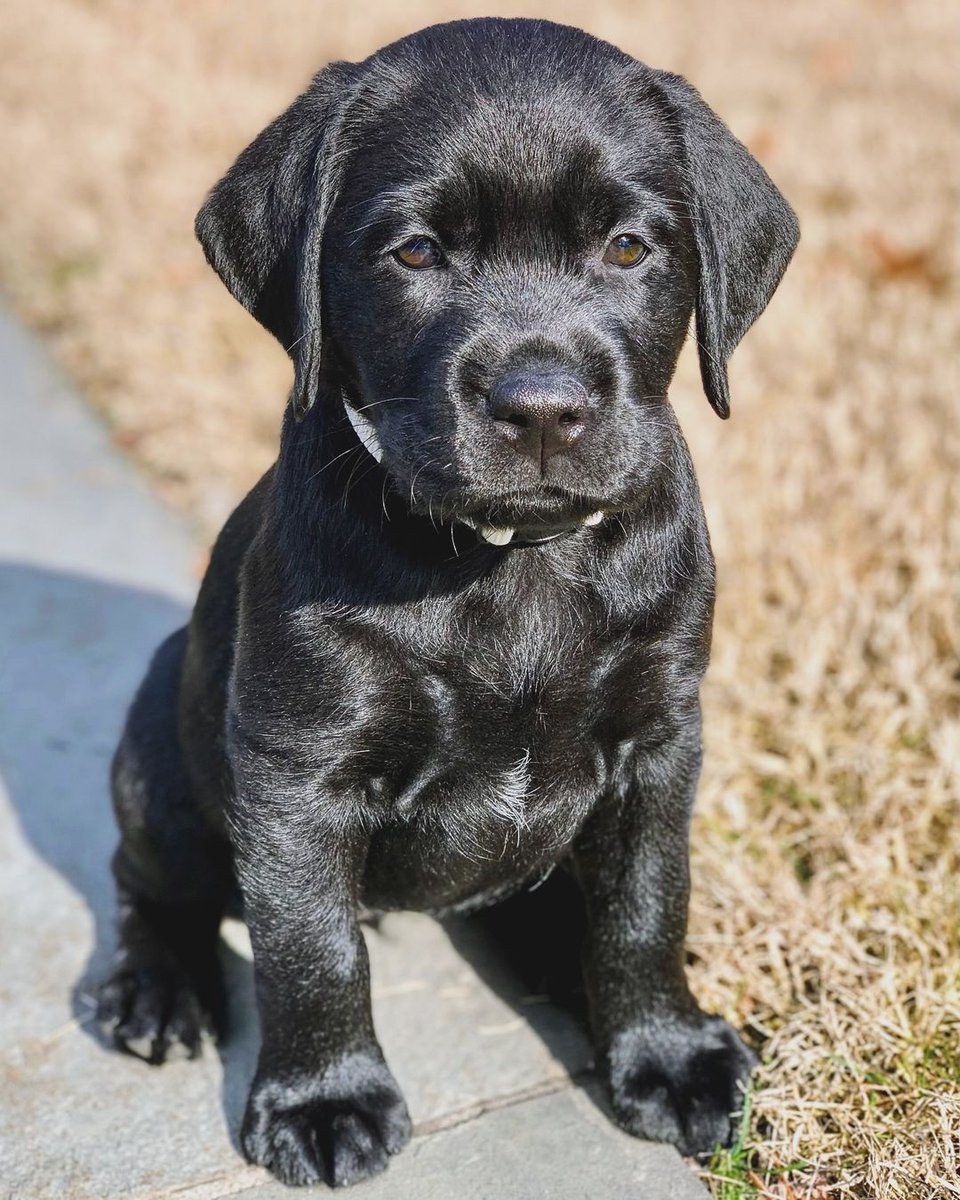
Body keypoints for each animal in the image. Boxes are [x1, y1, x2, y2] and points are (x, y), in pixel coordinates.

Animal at [97, 18, 796, 1190]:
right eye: (417, 253)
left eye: (627, 249)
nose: (544, 407)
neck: (511, 562)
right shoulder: (296, 767)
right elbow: (310, 944)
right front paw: (326, 1099)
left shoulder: (661, 738)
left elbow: (647, 903)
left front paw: (665, 1053)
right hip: (159, 760)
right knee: (155, 882)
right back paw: (157, 986)